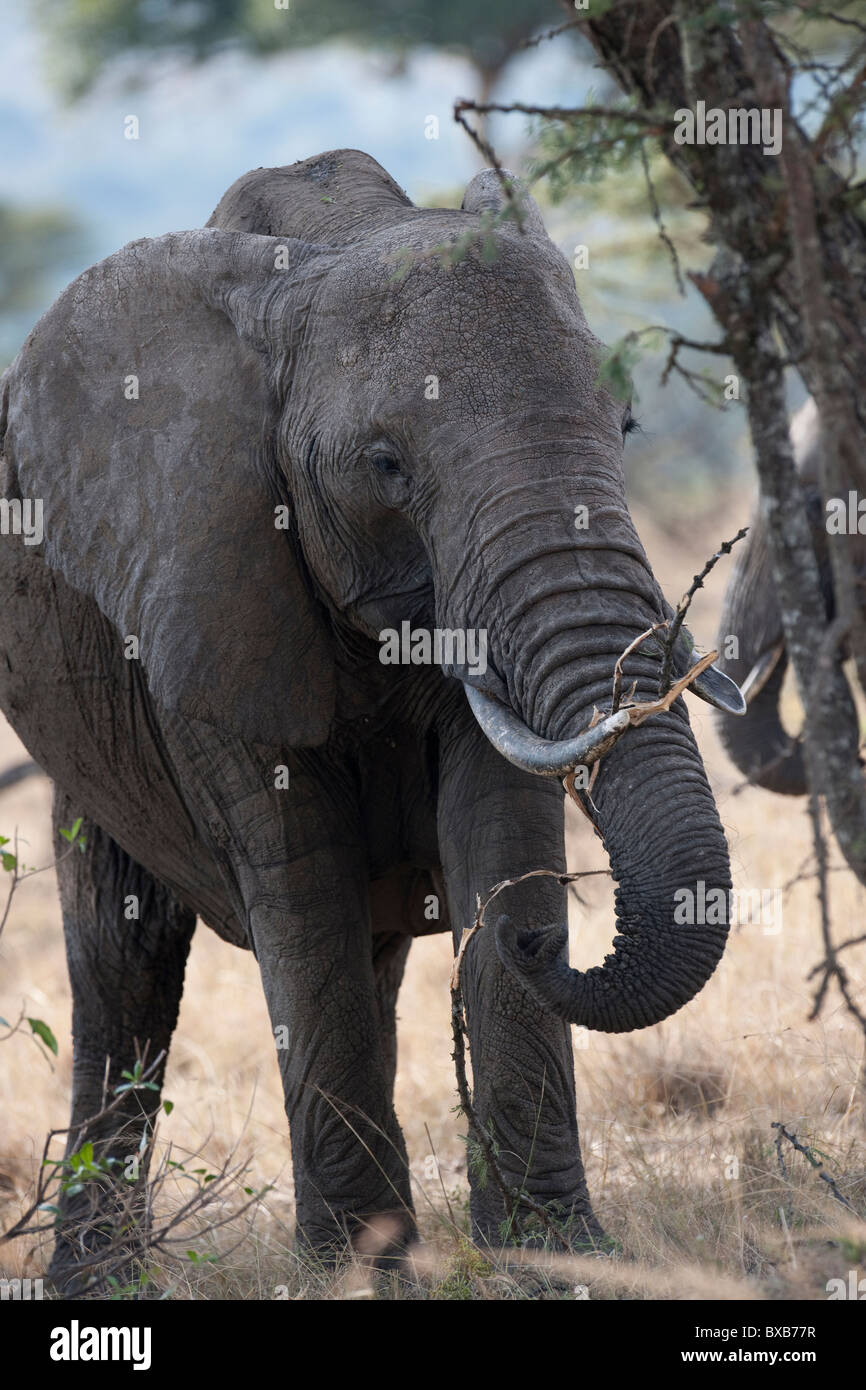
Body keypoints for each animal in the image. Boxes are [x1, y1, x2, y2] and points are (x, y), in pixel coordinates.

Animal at [0, 146, 745, 1284]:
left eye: (623, 427)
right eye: (387, 465)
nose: (544, 942)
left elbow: (495, 830)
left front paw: (551, 1256)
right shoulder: (208, 580)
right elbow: (301, 894)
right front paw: (356, 1275)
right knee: (124, 962)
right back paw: (100, 1277)